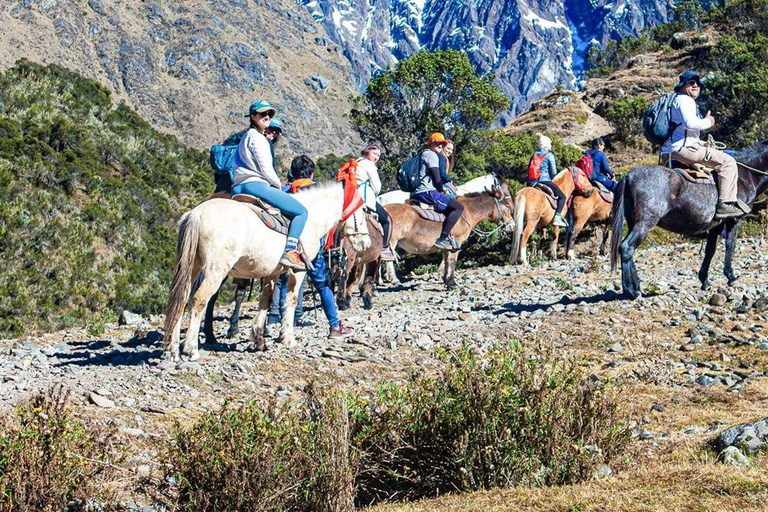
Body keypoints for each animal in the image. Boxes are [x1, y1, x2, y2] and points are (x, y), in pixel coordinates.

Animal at [162, 182, 368, 362]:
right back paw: (191, 348)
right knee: (199, 300)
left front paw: (259, 340)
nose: (365, 243)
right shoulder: (297, 272)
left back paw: (173, 349)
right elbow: (291, 300)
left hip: (193, 267)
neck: (311, 219)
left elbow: (265, 301)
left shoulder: (272, 273)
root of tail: (196, 214)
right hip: (215, 270)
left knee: (181, 299)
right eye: (362, 213)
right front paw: (288, 339)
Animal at [612, 140, 768, 300]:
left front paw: (705, 280)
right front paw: (731, 277)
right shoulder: (733, 221)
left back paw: (636, 286)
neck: (744, 176)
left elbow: (710, 251)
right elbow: (730, 247)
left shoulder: (715, 226)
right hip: (644, 224)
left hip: (633, 223)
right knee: (627, 247)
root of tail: (629, 175)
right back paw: (630, 291)